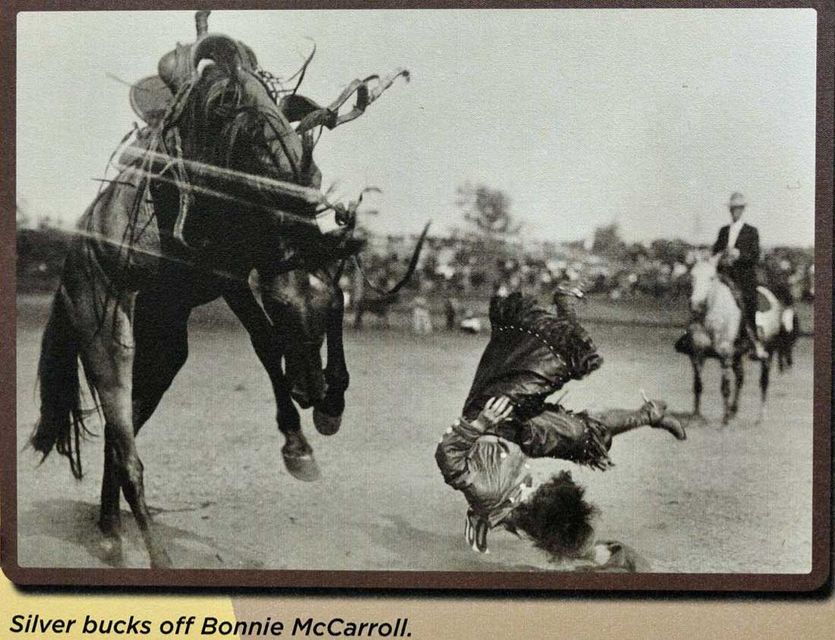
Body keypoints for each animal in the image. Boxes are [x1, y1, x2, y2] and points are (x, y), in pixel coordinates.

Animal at [30, 11, 428, 568]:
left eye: (322, 305)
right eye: (282, 306)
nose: (310, 389)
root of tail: (73, 260)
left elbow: (327, 310)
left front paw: (330, 407)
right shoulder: (231, 274)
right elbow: (265, 340)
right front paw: (298, 446)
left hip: (163, 347)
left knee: (116, 433)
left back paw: (109, 530)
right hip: (107, 340)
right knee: (126, 446)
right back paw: (155, 554)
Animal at [680, 255, 792, 424]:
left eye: (711, 278)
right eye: (692, 276)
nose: (696, 305)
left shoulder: (725, 354)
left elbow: (725, 387)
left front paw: (724, 420)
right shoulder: (696, 354)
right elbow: (698, 385)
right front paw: (696, 416)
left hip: (768, 352)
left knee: (763, 382)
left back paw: (760, 417)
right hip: (738, 355)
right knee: (740, 379)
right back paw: (734, 411)